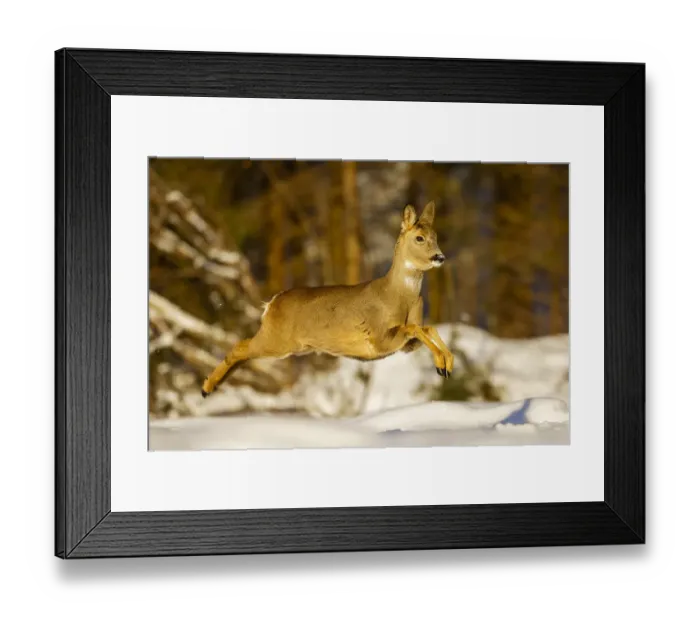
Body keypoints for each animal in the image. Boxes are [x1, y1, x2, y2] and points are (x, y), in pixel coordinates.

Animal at [201, 201, 454, 398]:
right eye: (420, 238)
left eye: (436, 236)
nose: (440, 256)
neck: (399, 297)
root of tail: (271, 303)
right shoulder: (378, 339)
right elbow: (414, 327)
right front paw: (442, 363)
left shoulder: (403, 346)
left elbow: (427, 328)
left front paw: (446, 364)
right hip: (276, 340)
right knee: (240, 347)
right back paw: (207, 388)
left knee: (243, 352)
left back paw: (212, 387)